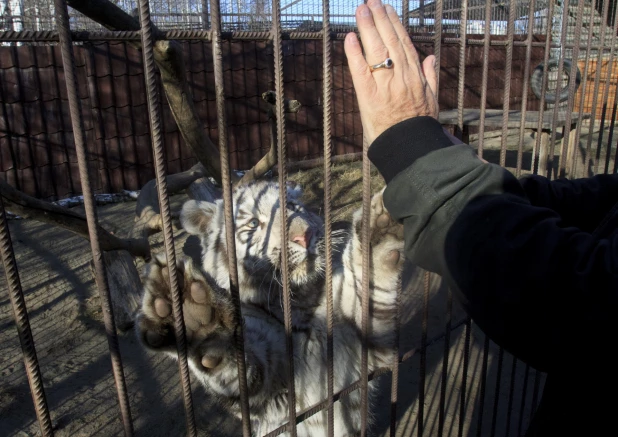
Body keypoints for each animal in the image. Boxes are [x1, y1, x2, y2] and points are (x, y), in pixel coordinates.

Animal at [135, 179, 434, 434]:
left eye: (294, 207)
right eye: (254, 223)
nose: (306, 235)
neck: (300, 304)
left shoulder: (363, 338)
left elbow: (365, 280)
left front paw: (382, 227)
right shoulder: (271, 395)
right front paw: (196, 318)